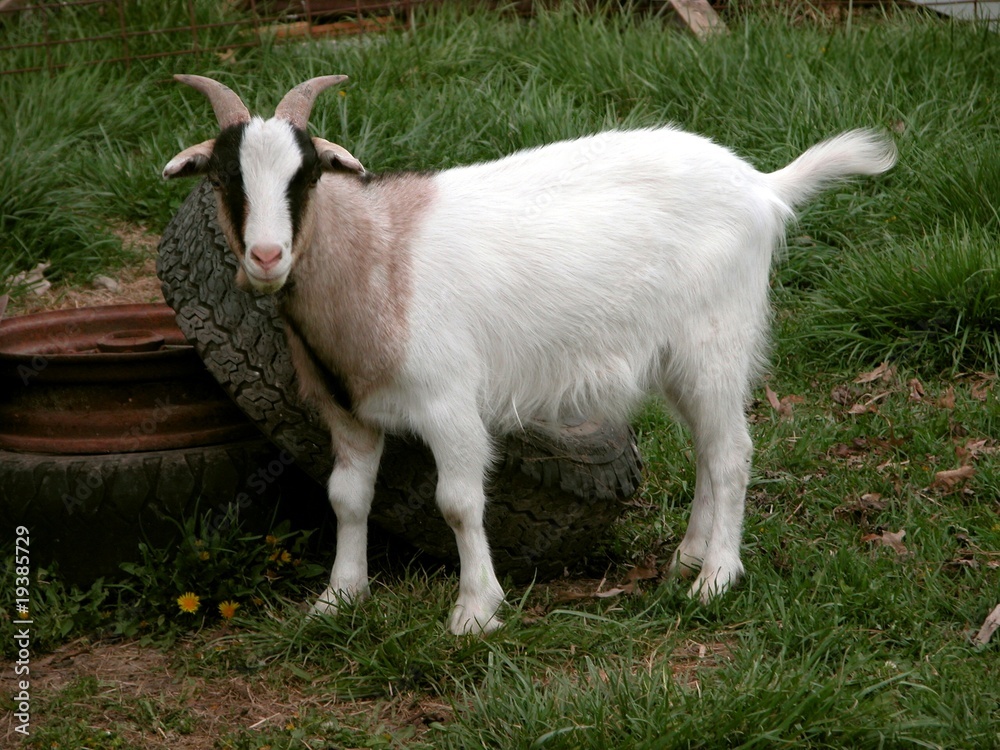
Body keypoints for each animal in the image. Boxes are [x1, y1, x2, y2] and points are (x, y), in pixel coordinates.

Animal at [163, 74, 896, 634]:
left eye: (306, 175)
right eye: (224, 178)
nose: (265, 257)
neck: (379, 254)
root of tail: (764, 187)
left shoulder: (449, 403)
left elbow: (458, 502)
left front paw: (475, 612)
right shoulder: (348, 411)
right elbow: (346, 498)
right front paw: (338, 600)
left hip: (716, 337)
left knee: (732, 452)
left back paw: (715, 578)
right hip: (676, 359)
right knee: (707, 451)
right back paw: (687, 559)